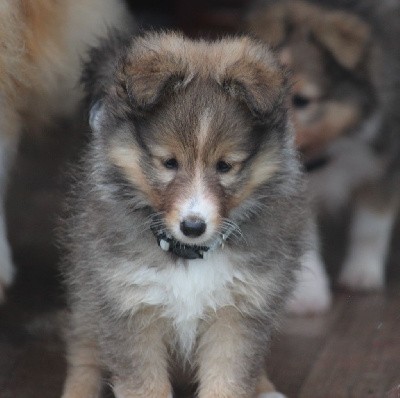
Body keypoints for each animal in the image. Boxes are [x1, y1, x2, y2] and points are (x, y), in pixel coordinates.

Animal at [61, 31, 306, 398]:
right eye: (169, 162)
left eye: (225, 166)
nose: (193, 226)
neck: (189, 256)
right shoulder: (129, 307)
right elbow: (143, 385)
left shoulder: (239, 313)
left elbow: (230, 379)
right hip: (89, 297)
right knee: (84, 351)